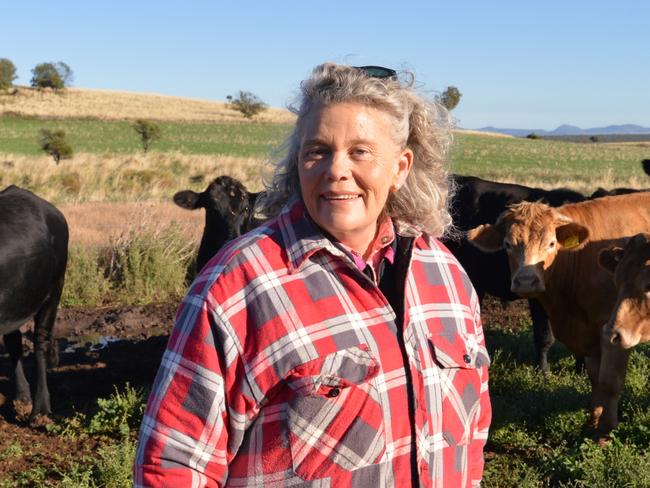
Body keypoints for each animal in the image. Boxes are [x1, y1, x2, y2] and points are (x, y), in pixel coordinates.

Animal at [0, 185, 68, 422]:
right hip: (16, 302)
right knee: (14, 342)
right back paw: (22, 398)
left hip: (54, 291)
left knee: (40, 341)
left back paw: (41, 407)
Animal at [466, 193, 648, 436]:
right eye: (507, 244)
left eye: (551, 243)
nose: (526, 281)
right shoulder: (589, 335)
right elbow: (595, 378)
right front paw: (592, 422)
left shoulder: (615, 330)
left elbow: (610, 380)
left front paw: (605, 431)